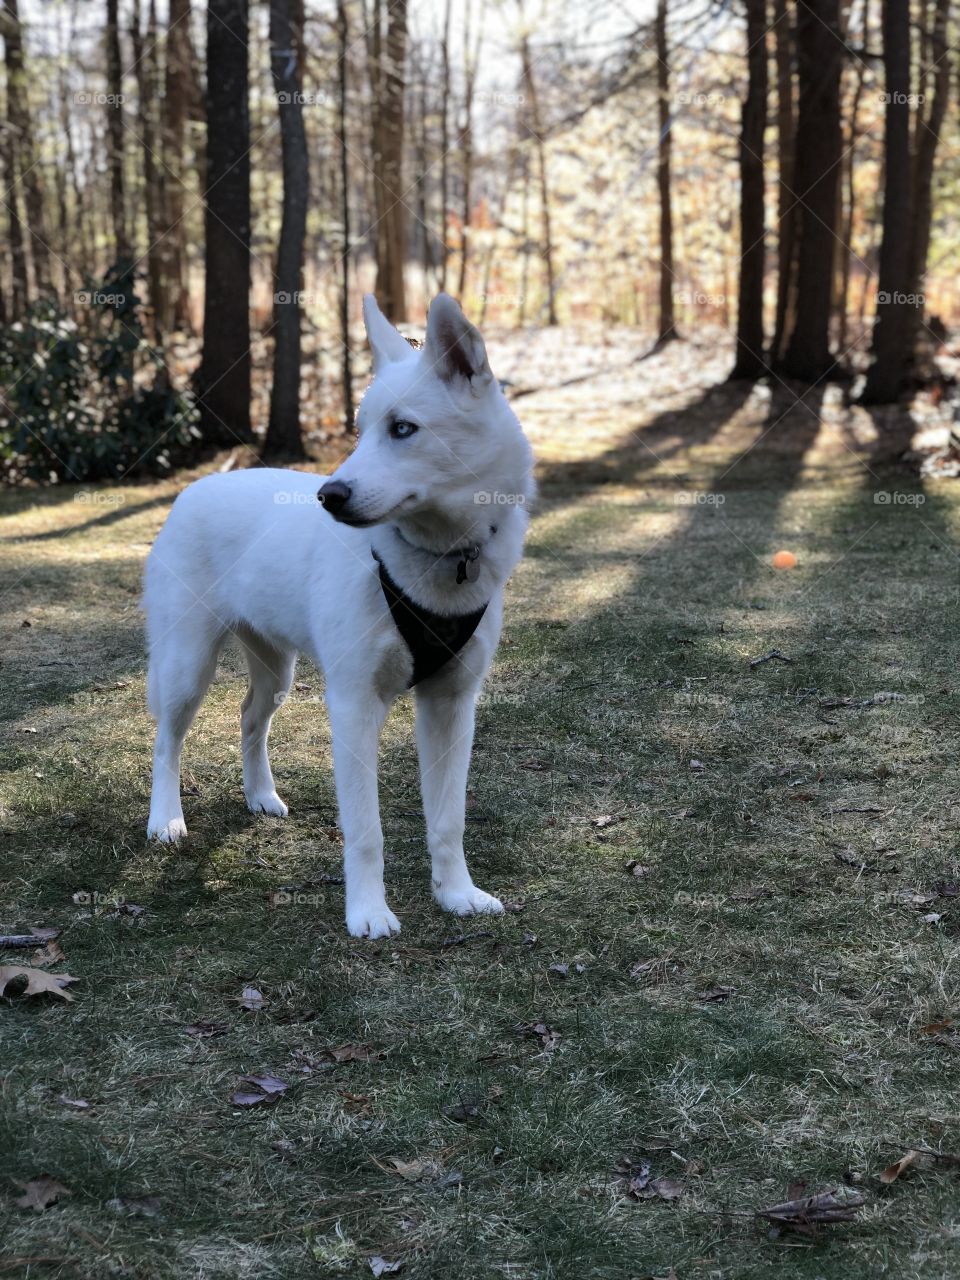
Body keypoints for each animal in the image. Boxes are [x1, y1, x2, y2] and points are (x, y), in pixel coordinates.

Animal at [144, 296, 535, 942]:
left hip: (276, 672)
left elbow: (448, 820)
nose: (330, 496)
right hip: (186, 668)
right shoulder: (354, 705)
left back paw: (261, 796)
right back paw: (165, 820)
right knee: (166, 741)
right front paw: (368, 913)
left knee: (249, 718)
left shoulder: (453, 706)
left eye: (402, 429)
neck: (440, 557)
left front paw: (456, 894)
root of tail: (192, 490)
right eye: (360, 429)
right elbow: (366, 831)